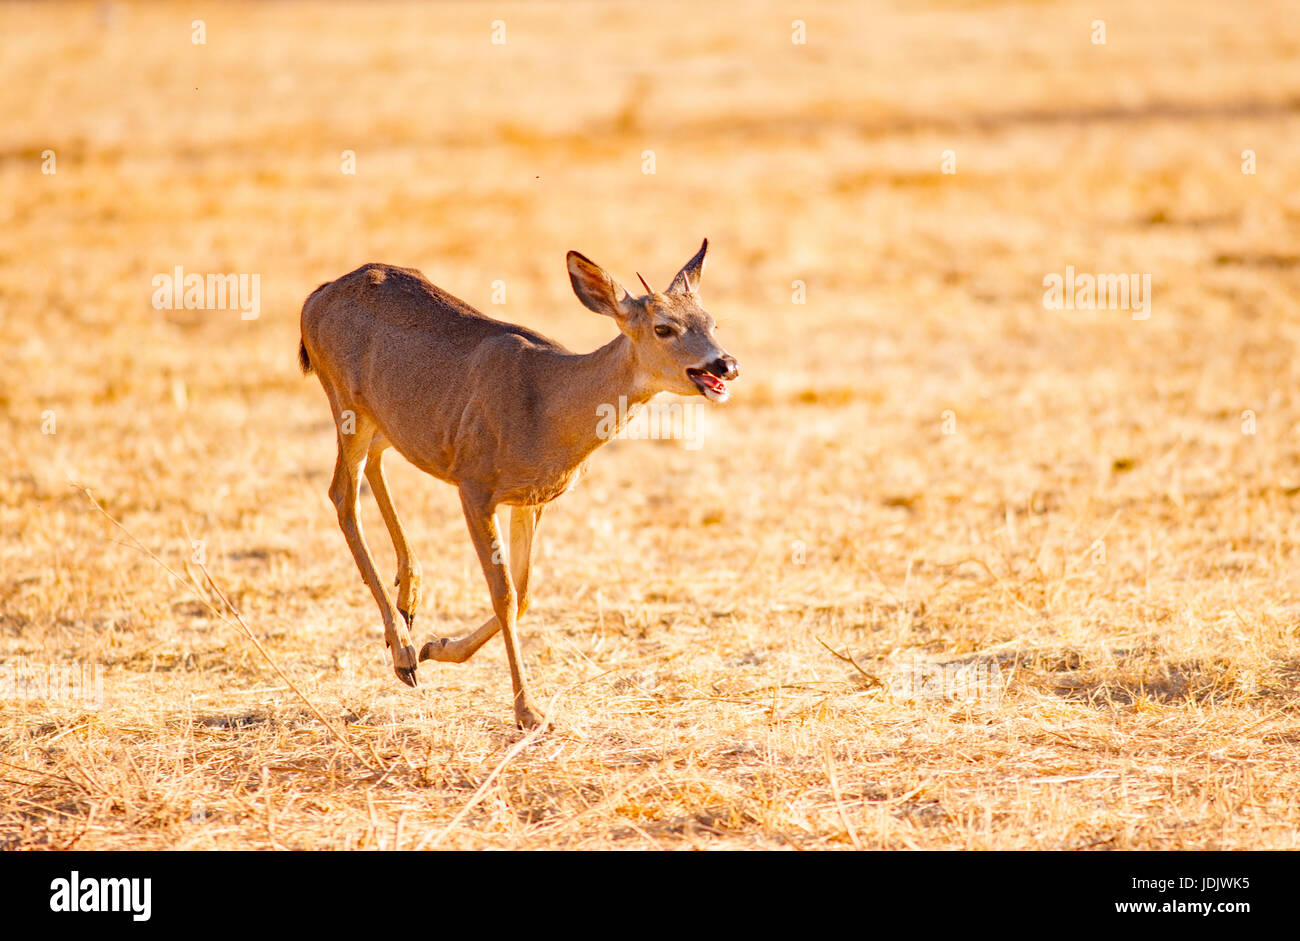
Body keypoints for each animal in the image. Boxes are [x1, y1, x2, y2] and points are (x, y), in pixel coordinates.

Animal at [297, 240, 738, 727]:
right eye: (663, 327)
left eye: (712, 322)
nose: (725, 364)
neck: (548, 407)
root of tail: (315, 297)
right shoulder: (474, 484)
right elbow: (504, 594)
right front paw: (528, 710)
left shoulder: (531, 498)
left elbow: (524, 594)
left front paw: (439, 646)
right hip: (344, 400)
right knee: (342, 494)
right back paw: (403, 653)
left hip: (383, 417)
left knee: (375, 464)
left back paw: (410, 602)